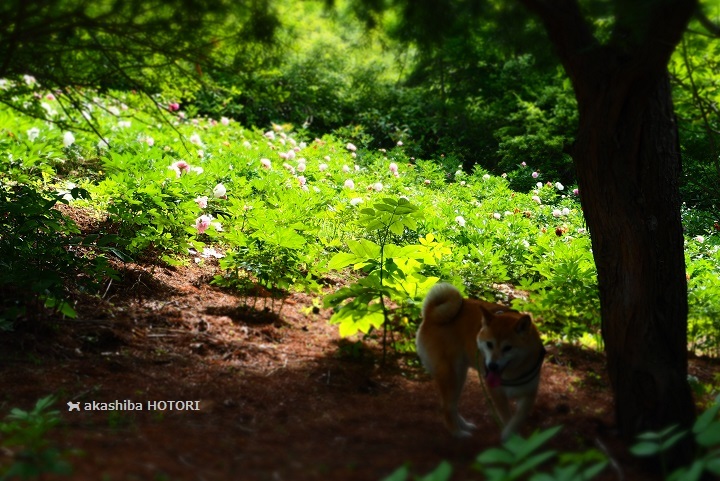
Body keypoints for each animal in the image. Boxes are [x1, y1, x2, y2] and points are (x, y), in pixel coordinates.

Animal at [416, 284, 544, 440]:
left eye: (508, 348)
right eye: (489, 344)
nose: (492, 366)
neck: (513, 373)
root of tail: (430, 316)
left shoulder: (529, 393)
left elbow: (518, 418)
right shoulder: (497, 393)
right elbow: (507, 417)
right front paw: (510, 437)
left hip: (459, 376)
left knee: (452, 405)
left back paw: (464, 425)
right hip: (451, 375)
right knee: (447, 406)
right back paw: (458, 433)